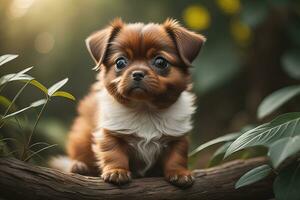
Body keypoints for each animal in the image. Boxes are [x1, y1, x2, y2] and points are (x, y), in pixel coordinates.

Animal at [51, 17, 206, 188]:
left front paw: (180, 173)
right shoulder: (110, 133)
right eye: (120, 62)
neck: (145, 109)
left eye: (160, 62)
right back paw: (79, 166)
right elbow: (113, 153)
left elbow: (177, 156)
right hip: (81, 136)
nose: (137, 73)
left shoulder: (177, 136)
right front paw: (117, 171)